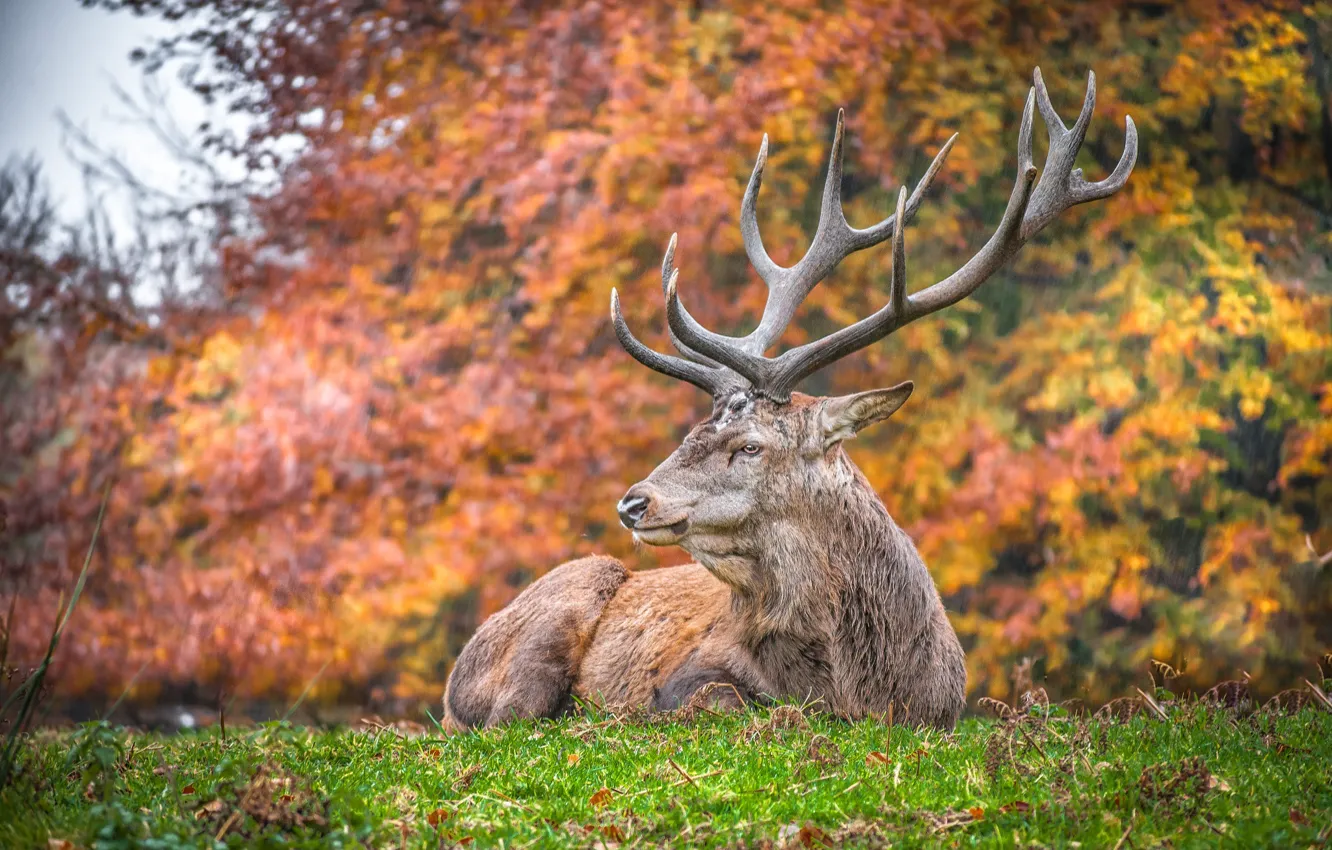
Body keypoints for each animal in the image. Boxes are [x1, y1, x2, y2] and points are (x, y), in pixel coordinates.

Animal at [443, 68, 1136, 731]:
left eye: (750, 446)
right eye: (692, 432)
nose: (634, 502)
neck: (864, 683)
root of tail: (454, 677)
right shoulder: (688, 676)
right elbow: (719, 700)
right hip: (563, 600)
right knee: (505, 718)